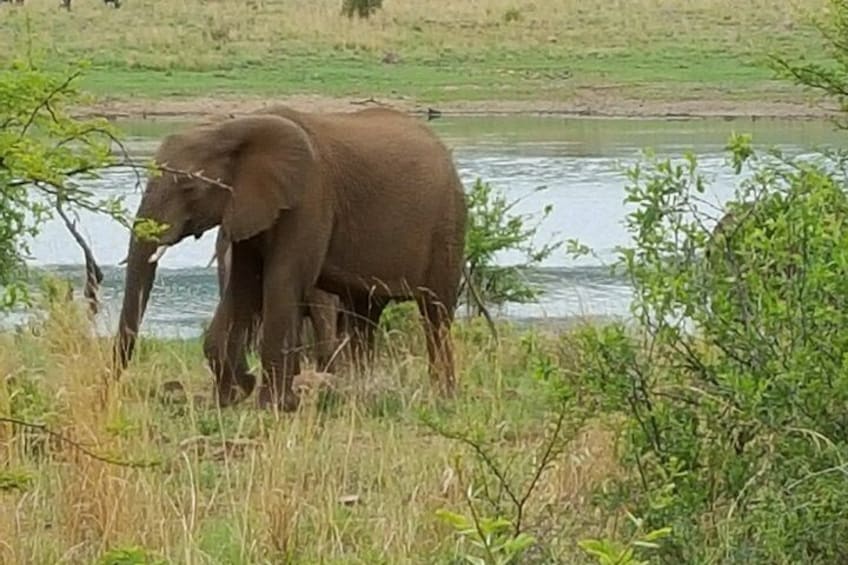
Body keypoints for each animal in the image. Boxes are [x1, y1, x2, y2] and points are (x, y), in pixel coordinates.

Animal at [113, 104, 467, 411]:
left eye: (188, 187)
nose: (115, 384)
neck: (235, 129)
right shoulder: (249, 209)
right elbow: (243, 287)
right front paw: (232, 397)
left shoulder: (310, 197)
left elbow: (281, 280)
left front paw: (274, 406)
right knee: (365, 315)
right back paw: (361, 393)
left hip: (448, 223)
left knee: (435, 314)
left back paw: (442, 397)